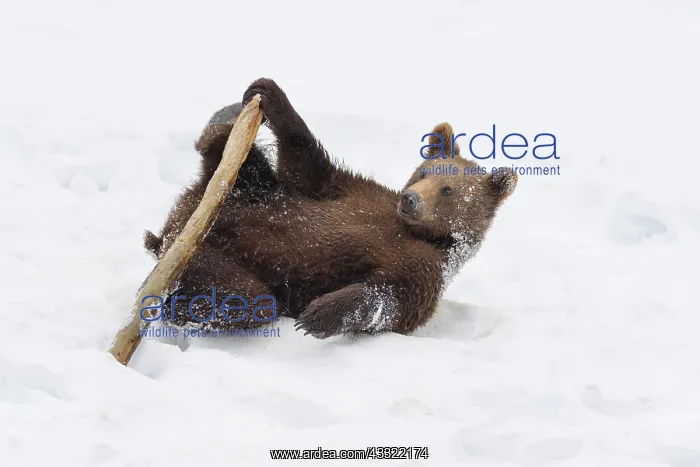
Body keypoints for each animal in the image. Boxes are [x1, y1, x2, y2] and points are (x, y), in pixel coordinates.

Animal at [143, 78, 517, 339]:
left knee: (247, 299)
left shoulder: (425, 270)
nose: (410, 199)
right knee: (240, 168)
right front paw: (269, 93)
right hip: (249, 197)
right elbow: (307, 166)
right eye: (425, 172)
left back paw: (182, 305)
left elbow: (386, 299)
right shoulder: (350, 192)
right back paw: (226, 119)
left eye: (448, 189)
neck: (418, 233)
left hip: (222, 261)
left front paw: (319, 314)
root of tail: (171, 231)